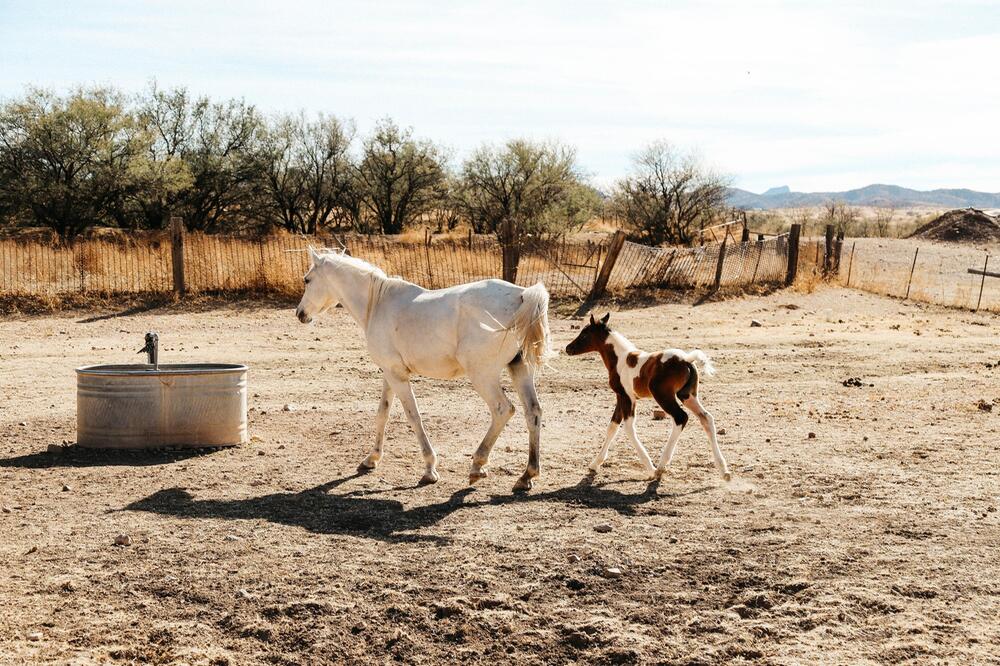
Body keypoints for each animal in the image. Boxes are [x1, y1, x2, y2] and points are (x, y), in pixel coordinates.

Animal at [296, 246, 552, 490]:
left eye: (307, 280)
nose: (300, 314)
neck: (377, 303)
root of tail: (521, 295)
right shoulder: (389, 374)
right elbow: (383, 413)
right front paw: (372, 459)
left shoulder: (398, 377)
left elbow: (413, 416)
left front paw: (430, 469)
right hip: (520, 369)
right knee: (533, 412)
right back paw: (526, 476)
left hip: (483, 376)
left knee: (503, 410)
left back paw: (478, 466)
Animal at [568, 314, 732, 480]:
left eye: (584, 334)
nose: (568, 348)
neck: (620, 359)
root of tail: (686, 359)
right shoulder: (621, 397)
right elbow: (612, 427)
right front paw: (595, 464)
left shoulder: (626, 397)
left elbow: (628, 428)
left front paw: (650, 469)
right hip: (687, 396)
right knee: (706, 418)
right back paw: (724, 470)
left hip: (663, 396)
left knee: (681, 417)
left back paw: (660, 466)